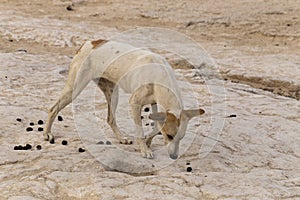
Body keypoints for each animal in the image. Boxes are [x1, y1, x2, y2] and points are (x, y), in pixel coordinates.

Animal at [44, 39, 204, 159]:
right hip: (74, 89)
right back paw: (47, 134)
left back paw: (121, 138)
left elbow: (155, 128)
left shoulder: (155, 104)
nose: (174, 157)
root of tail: (90, 43)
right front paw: (145, 150)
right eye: (170, 136)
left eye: (180, 138)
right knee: (53, 109)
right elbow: (140, 132)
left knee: (110, 118)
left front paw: (148, 141)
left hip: (113, 93)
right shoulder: (135, 103)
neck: (159, 75)